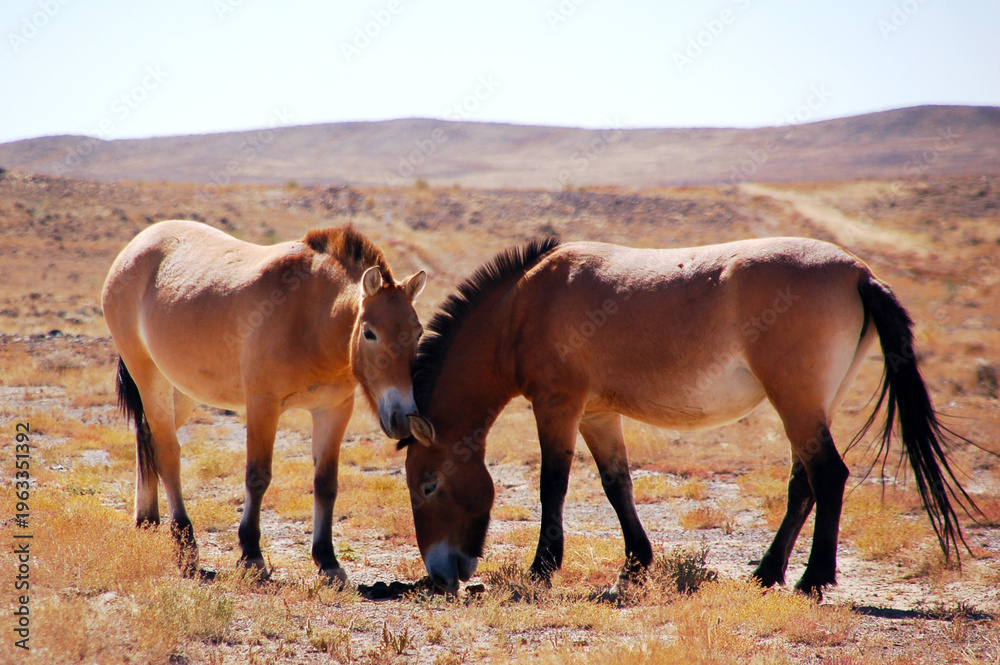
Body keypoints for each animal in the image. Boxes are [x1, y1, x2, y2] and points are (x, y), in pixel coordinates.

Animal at [102, 220, 426, 583]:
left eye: (418, 333)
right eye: (370, 333)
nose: (402, 418)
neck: (310, 316)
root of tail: (136, 247)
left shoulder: (334, 410)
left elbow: (326, 484)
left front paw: (327, 561)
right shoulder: (263, 406)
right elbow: (257, 477)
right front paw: (251, 556)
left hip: (180, 390)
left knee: (146, 437)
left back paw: (147, 520)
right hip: (149, 377)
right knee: (167, 453)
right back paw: (186, 547)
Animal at [400, 236, 980, 596]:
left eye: (428, 486)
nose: (442, 575)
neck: (524, 303)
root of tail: (858, 273)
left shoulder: (557, 406)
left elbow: (553, 485)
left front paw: (543, 567)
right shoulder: (597, 415)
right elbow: (616, 484)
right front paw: (636, 564)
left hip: (796, 402)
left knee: (828, 477)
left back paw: (813, 579)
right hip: (814, 406)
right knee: (805, 483)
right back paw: (767, 573)